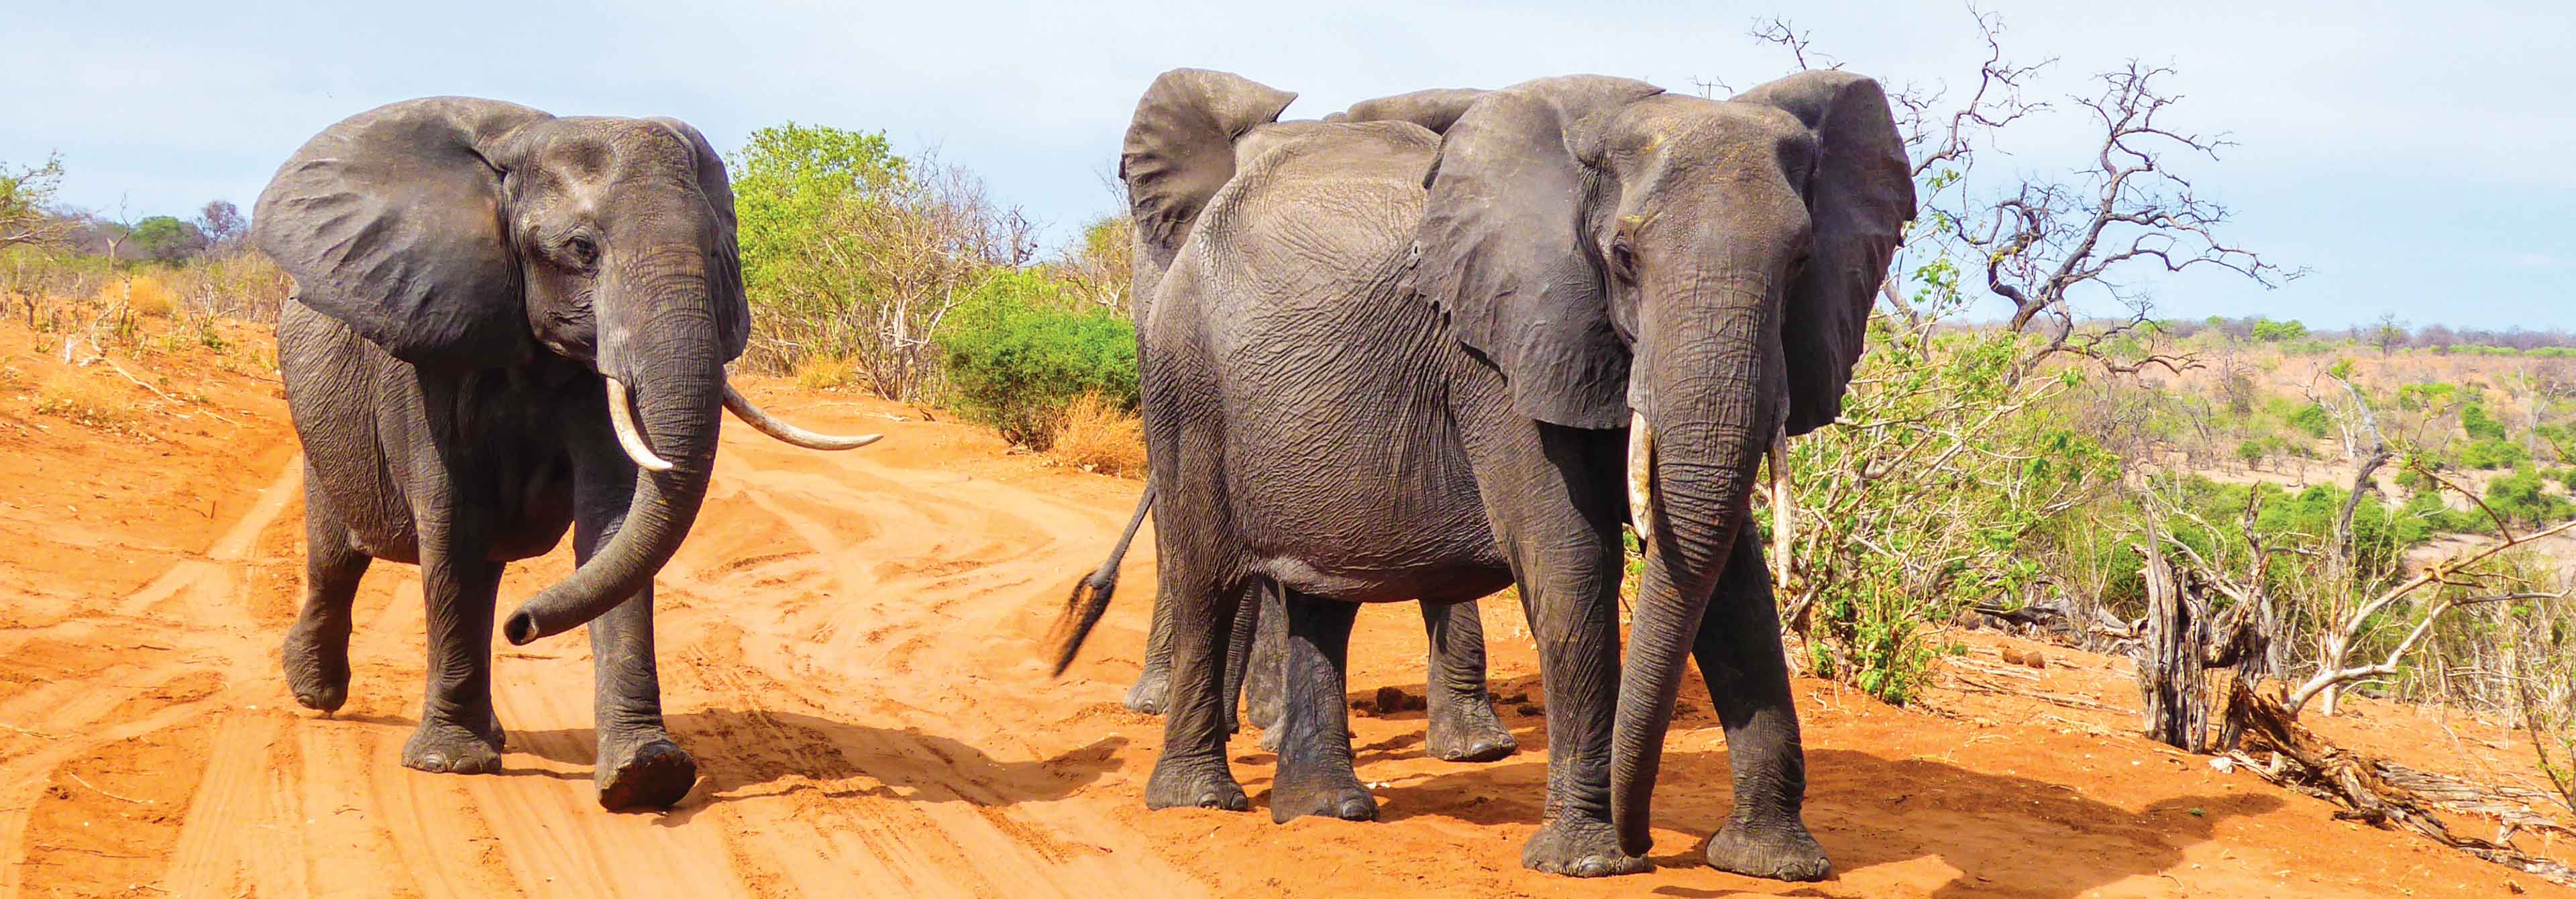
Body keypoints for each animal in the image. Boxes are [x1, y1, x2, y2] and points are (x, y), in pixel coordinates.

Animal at [251, 97, 879, 810]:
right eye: (582, 250)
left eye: (716, 248)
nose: (523, 626)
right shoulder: (427, 352)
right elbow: (451, 525)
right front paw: (449, 764)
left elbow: (614, 523)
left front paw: (646, 775)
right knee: (338, 557)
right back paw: (317, 691)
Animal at [1051, 69, 1910, 880]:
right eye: (1625, 258)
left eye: (1801, 260)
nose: (1641, 837)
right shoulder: (1497, 351)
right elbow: (1570, 557)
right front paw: (1588, 861)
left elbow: (1732, 582)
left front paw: (1776, 863)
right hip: (1187, 380)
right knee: (1205, 574)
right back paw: (1200, 798)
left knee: (1322, 597)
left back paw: (1328, 809)